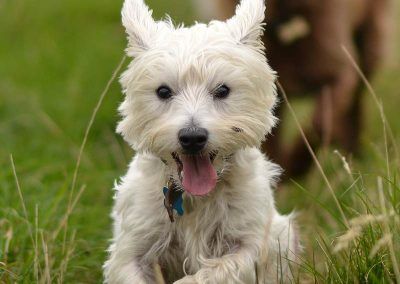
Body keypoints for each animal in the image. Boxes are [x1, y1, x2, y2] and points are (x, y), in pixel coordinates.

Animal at [103, 0, 300, 282]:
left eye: (223, 90)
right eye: (163, 91)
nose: (192, 137)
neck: (195, 197)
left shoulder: (252, 240)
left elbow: (217, 270)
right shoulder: (133, 247)